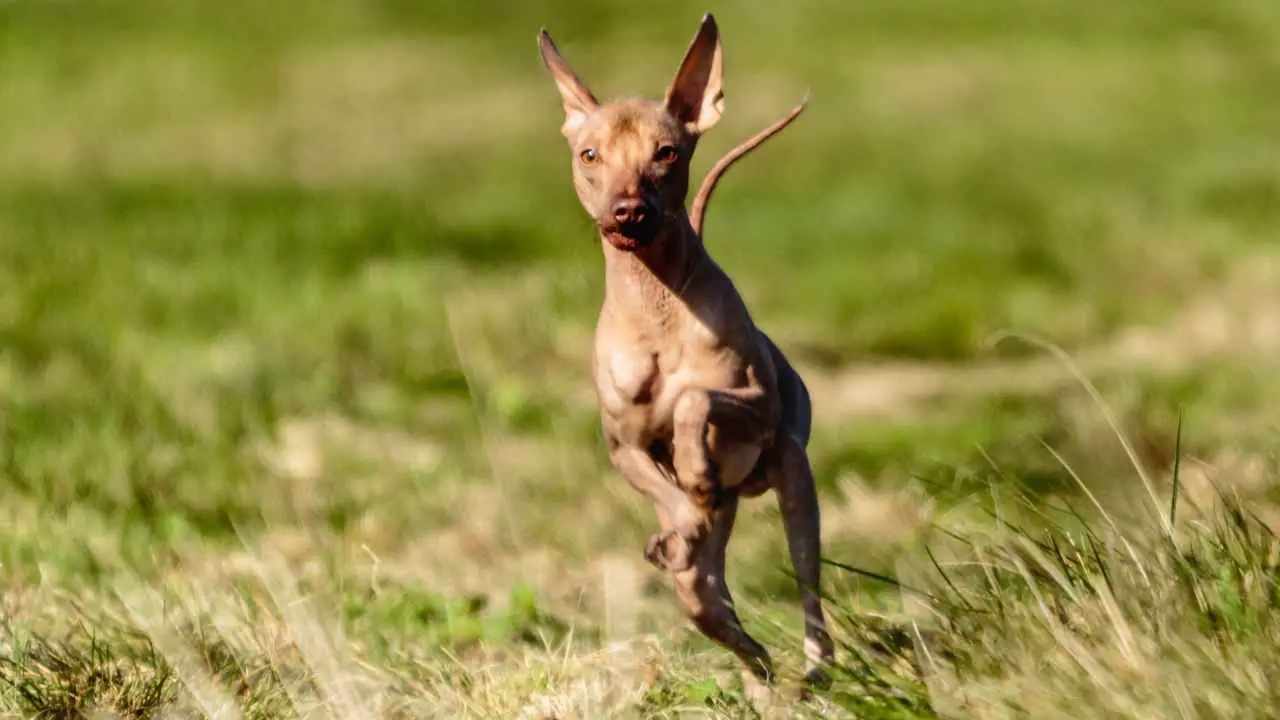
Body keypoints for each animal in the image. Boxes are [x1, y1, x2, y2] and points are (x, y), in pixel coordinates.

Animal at [535, 12, 834, 696]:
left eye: (666, 152)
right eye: (589, 154)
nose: (628, 210)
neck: (657, 307)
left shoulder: (757, 405)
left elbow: (697, 397)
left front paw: (695, 467)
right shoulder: (623, 446)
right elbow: (668, 495)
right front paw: (679, 521)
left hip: (795, 481)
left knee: (808, 584)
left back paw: (814, 666)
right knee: (707, 599)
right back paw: (750, 661)